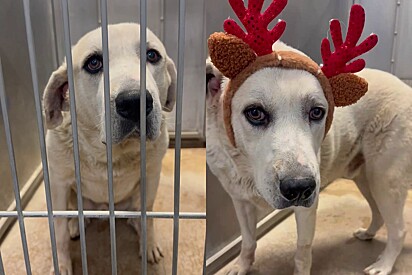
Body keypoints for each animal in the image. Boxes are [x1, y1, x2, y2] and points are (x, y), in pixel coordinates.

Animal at [42, 23, 176, 275]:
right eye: (94, 63)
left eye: (152, 55)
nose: (134, 102)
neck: (111, 154)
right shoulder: (59, 183)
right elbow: (59, 227)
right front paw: (62, 263)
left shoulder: (151, 176)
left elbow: (149, 216)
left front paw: (148, 244)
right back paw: (77, 223)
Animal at [208, 41, 412, 275]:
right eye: (255, 113)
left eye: (317, 112)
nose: (299, 187)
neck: (248, 170)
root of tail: (406, 88)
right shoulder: (241, 202)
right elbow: (248, 240)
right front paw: (242, 265)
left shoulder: (306, 209)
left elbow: (302, 252)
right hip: (367, 180)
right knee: (379, 214)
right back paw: (368, 234)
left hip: (385, 182)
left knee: (399, 230)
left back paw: (383, 265)